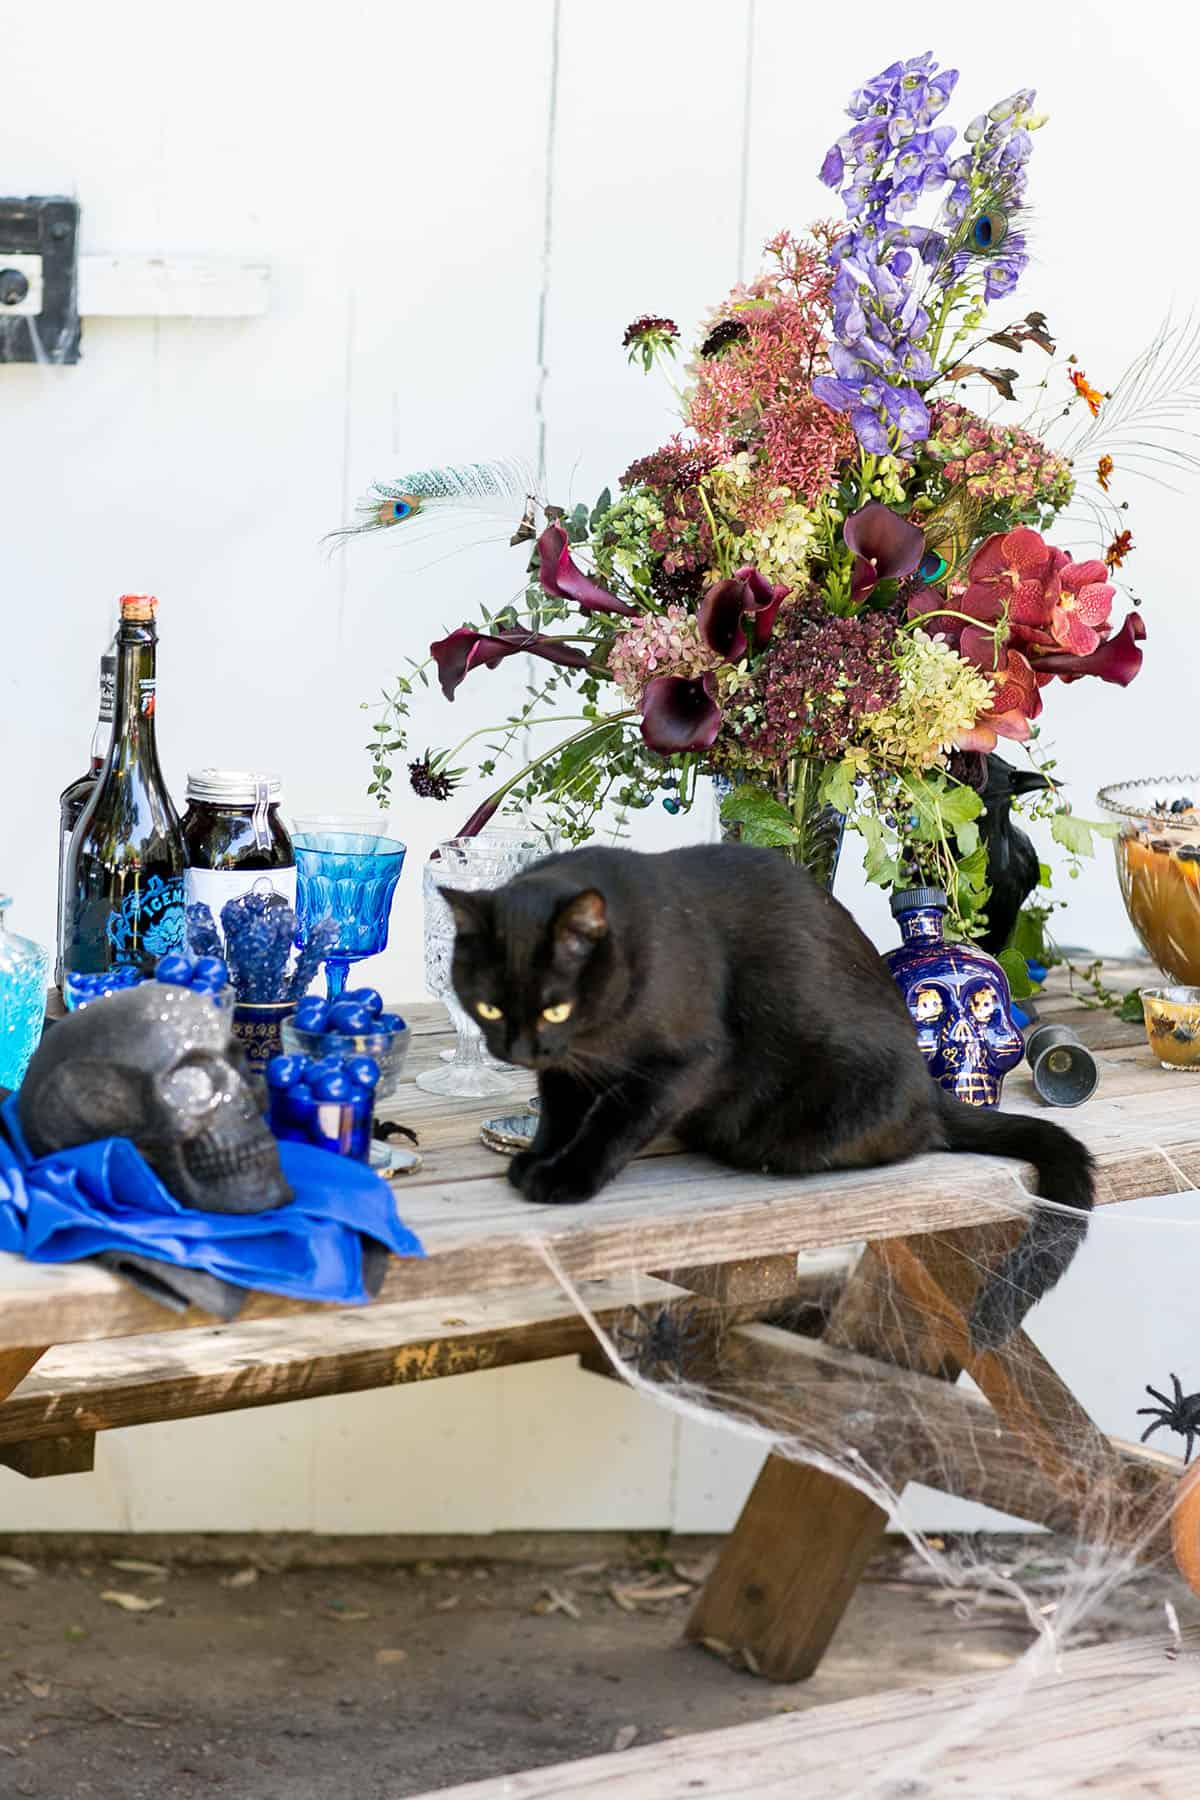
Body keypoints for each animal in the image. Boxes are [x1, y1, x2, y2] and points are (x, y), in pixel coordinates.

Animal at [444, 846, 1101, 1353]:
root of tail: (929, 1089)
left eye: (555, 1007)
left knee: (905, 1140)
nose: (518, 1047)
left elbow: (611, 1124)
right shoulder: (565, 1072)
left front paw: (566, 1179)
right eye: (490, 1007)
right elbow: (558, 1117)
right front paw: (537, 1160)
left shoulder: (681, 1065)